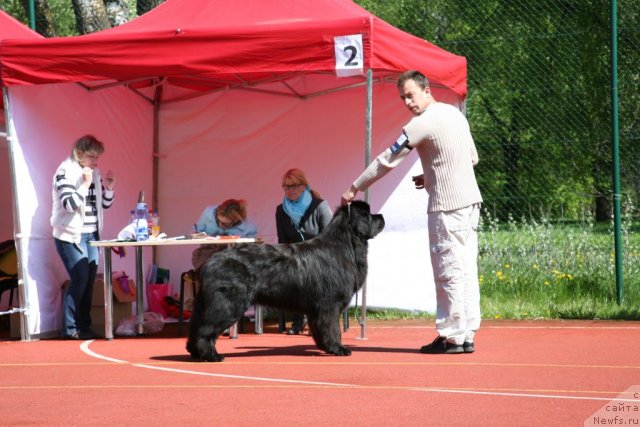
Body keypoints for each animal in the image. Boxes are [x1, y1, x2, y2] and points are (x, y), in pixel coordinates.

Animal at [186, 201, 384, 362]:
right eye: (368, 215)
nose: (381, 216)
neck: (346, 245)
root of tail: (209, 263)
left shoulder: (316, 310)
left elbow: (320, 330)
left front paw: (326, 347)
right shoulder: (329, 305)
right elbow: (332, 329)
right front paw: (338, 349)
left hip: (207, 304)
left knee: (196, 327)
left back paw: (195, 353)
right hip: (226, 304)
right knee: (205, 329)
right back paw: (212, 355)